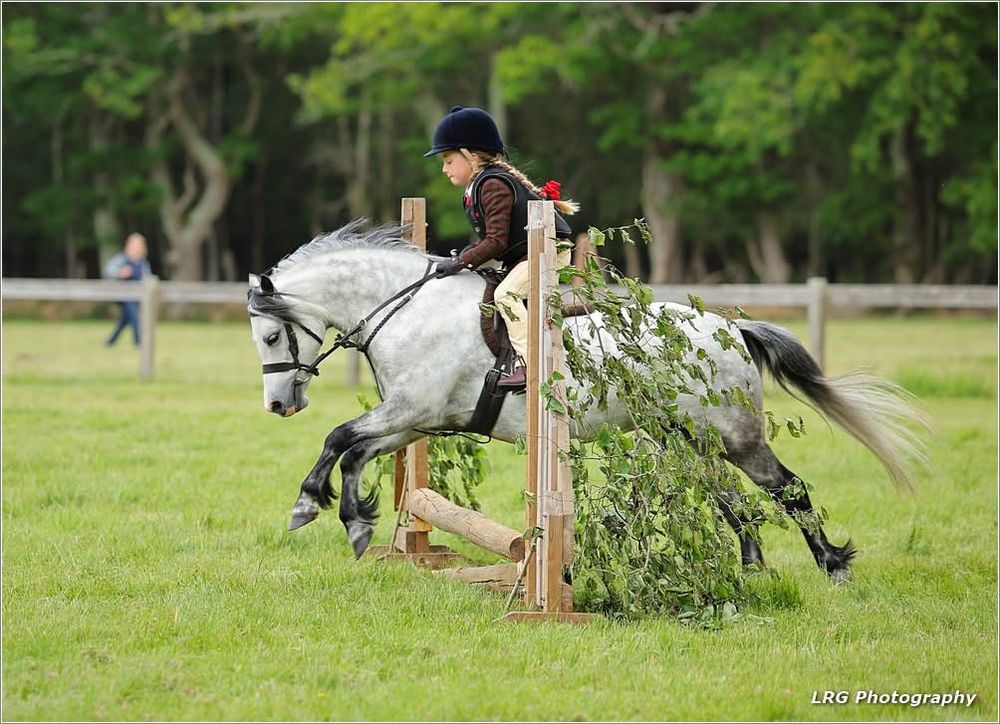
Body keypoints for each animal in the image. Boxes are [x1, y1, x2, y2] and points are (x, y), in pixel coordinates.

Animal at [247, 221, 926, 581]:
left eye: (272, 335)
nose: (279, 406)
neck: (407, 309)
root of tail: (731, 328)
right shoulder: (417, 422)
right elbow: (353, 449)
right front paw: (354, 519)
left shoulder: (412, 413)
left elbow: (340, 437)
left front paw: (310, 505)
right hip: (685, 438)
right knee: (731, 499)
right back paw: (752, 567)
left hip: (736, 435)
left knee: (787, 489)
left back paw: (832, 563)